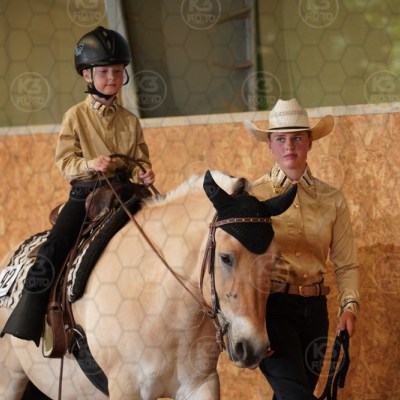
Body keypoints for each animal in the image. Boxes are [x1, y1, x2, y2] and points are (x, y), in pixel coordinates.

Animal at [0, 170, 296, 399]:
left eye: (275, 259)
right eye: (225, 257)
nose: (253, 347)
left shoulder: (200, 385)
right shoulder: (125, 388)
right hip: (9, 380)